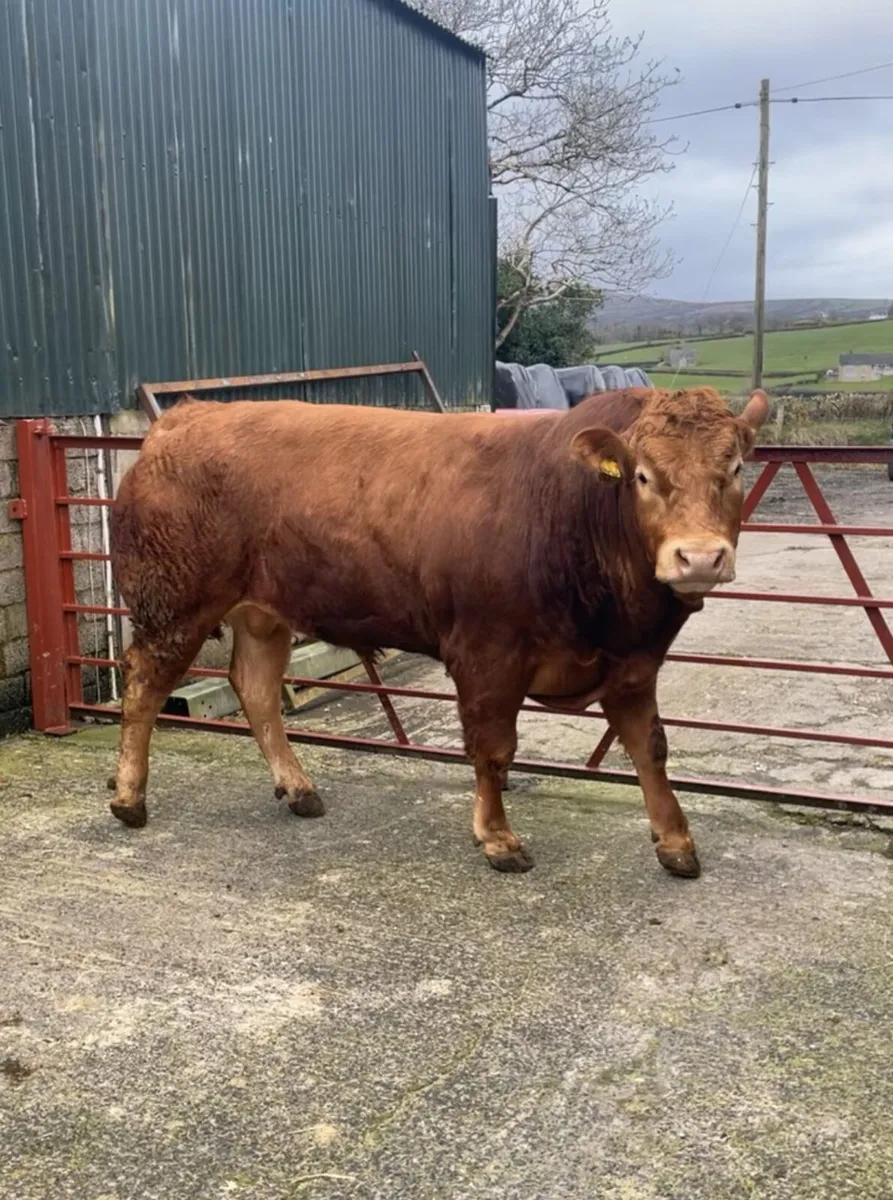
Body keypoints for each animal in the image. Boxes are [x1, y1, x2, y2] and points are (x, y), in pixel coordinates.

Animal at [109, 386, 769, 878]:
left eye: (735, 468)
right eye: (643, 476)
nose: (699, 557)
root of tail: (188, 417)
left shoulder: (632, 661)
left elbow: (650, 747)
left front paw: (676, 842)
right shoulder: (487, 654)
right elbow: (494, 748)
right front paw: (498, 839)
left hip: (262, 612)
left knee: (255, 689)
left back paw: (298, 789)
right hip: (174, 602)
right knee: (143, 686)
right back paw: (128, 797)